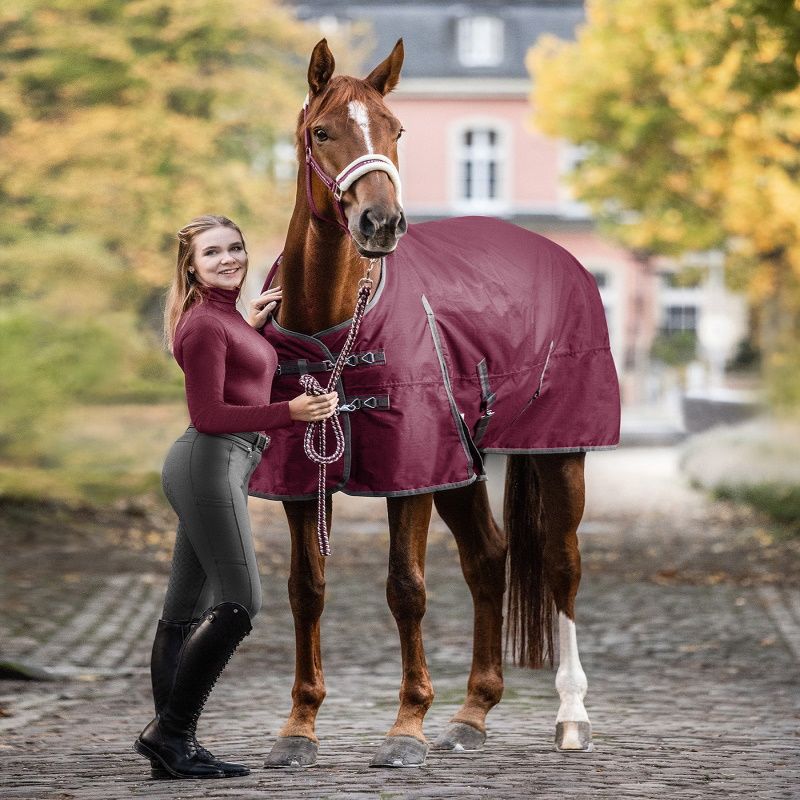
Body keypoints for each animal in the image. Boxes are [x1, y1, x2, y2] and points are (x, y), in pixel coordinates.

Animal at [251, 38, 620, 768]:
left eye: (396, 130)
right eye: (322, 132)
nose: (381, 222)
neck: (335, 320)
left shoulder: (411, 473)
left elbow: (406, 588)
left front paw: (405, 726)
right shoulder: (302, 479)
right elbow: (306, 589)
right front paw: (299, 727)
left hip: (559, 454)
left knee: (562, 567)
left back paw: (571, 717)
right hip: (463, 462)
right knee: (488, 561)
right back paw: (471, 713)